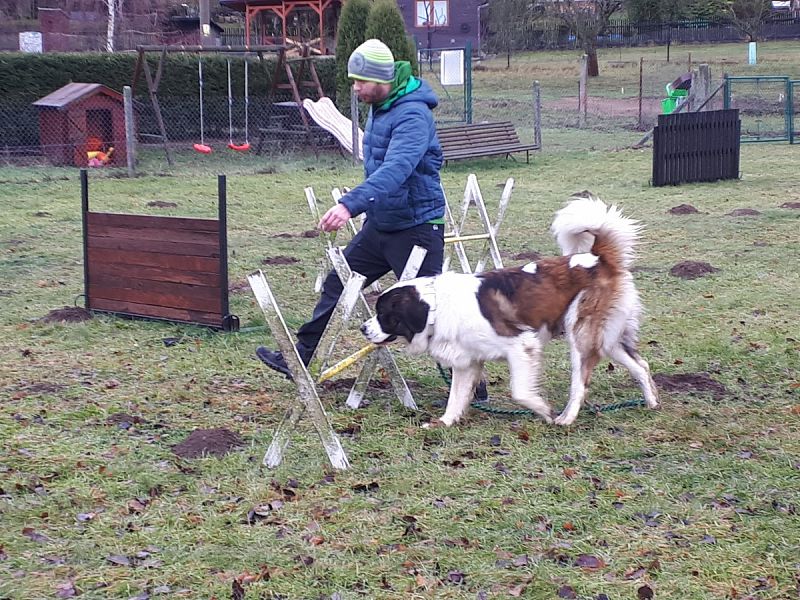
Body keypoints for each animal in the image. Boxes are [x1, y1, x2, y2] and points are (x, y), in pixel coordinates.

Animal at [360, 193, 660, 426]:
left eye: (384, 315)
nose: (363, 328)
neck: (434, 308)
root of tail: (598, 258)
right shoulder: (467, 361)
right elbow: (456, 396)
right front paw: (444, 422)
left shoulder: (521, 345)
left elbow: (520, 392)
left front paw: (544, 410)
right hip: (607, 336)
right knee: (640, 365)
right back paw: (652, 402)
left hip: (581, 335)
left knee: (580, 382)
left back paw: (566, 418)